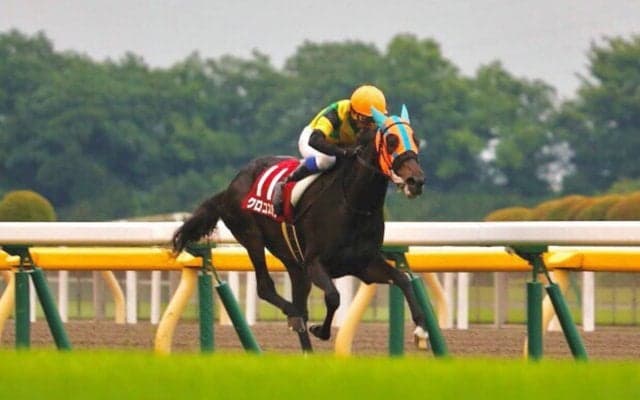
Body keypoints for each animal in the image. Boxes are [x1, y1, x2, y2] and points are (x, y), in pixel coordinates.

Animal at [172, 105, 427, 351]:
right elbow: (333, 296)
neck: (353, 203)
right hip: (252, 237)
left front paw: (421, 328)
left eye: (415, 138)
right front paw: (320, 330)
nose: (416, 181)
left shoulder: (364, 265)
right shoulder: (314, 262)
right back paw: (293, 314)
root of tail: (229, 188)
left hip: (294, 263)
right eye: (391, 141)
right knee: (267, 288)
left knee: (297, 297)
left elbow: (402, 279)